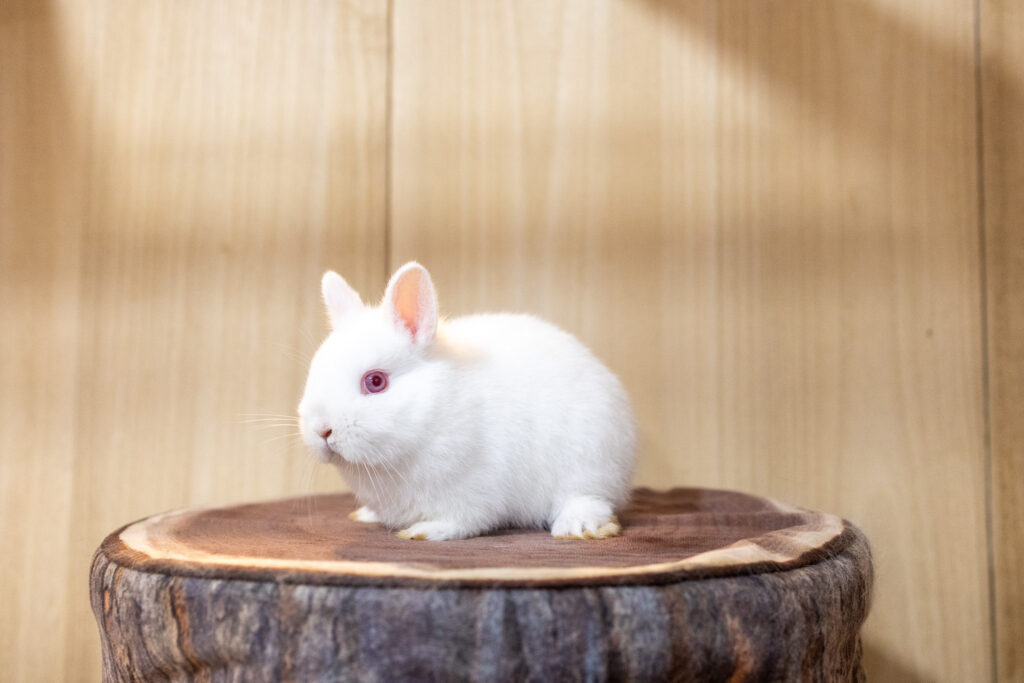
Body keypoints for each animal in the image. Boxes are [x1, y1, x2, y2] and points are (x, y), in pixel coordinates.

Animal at [297, 261, 636, 541]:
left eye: (376, 381)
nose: (322, 430)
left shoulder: (475, 489)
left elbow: (464, 521)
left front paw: (423, 531)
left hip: (588, 462)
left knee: (590, 500)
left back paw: (577, 527)